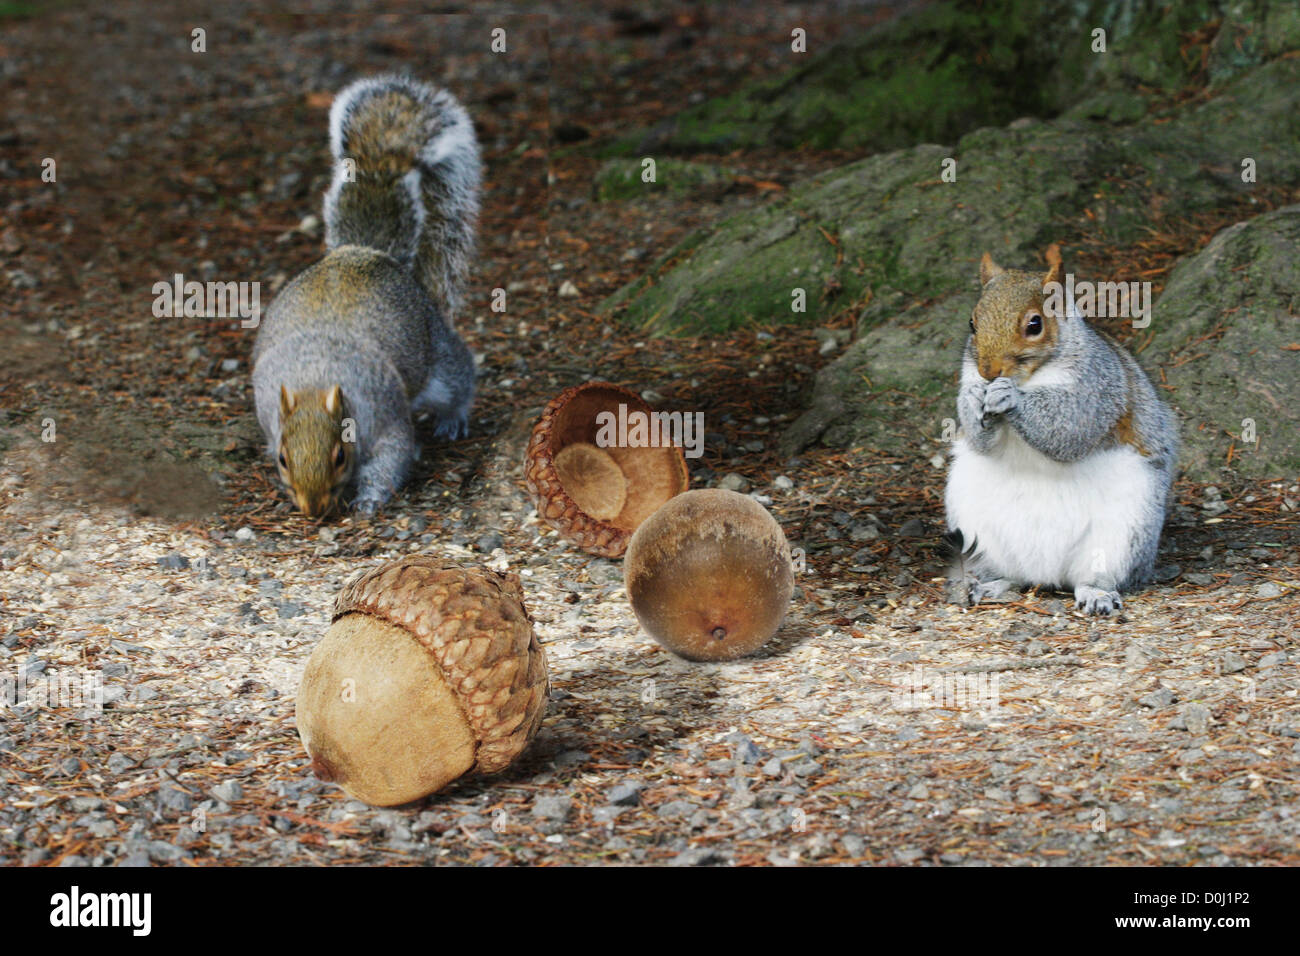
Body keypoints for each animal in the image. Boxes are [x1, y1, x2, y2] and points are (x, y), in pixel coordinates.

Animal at [252, 75, 480, 517]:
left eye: (341, 456)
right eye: (282, 459)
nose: (313, 509)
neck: (315, 377)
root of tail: (363, 251)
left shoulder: (385, 413)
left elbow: (393, 455)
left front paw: (370, 498)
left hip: (436, 355)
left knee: (458, 377)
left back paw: (453, 418)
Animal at [944, 244, 1179, 616]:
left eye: (1034, 324)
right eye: (972, 322)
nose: (988, 371)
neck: (1031, 377)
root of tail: (1047, 574)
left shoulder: (1097, 387)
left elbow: (1069, 430)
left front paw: (1009, 396)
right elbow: (981, 440)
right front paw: (974, 397)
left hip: (1122, 532)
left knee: (1096, 574)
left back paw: (1096, 594)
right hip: (974, 528)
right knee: (1010, 575)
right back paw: (989, 585)